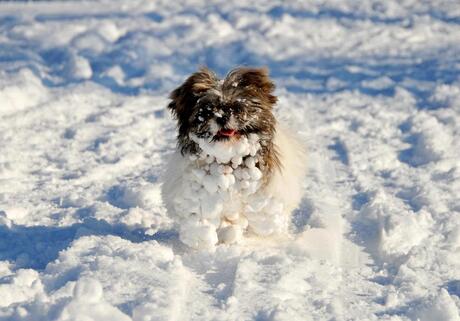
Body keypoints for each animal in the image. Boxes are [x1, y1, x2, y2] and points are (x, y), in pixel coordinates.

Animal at [162, 66, 306, 249]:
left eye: (237, 108)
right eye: (207, 110)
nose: (222, 117)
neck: (228, 158)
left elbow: (264, 211)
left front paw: (265, 230)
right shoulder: (193, 189)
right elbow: (196, 213)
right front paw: (201, 238)